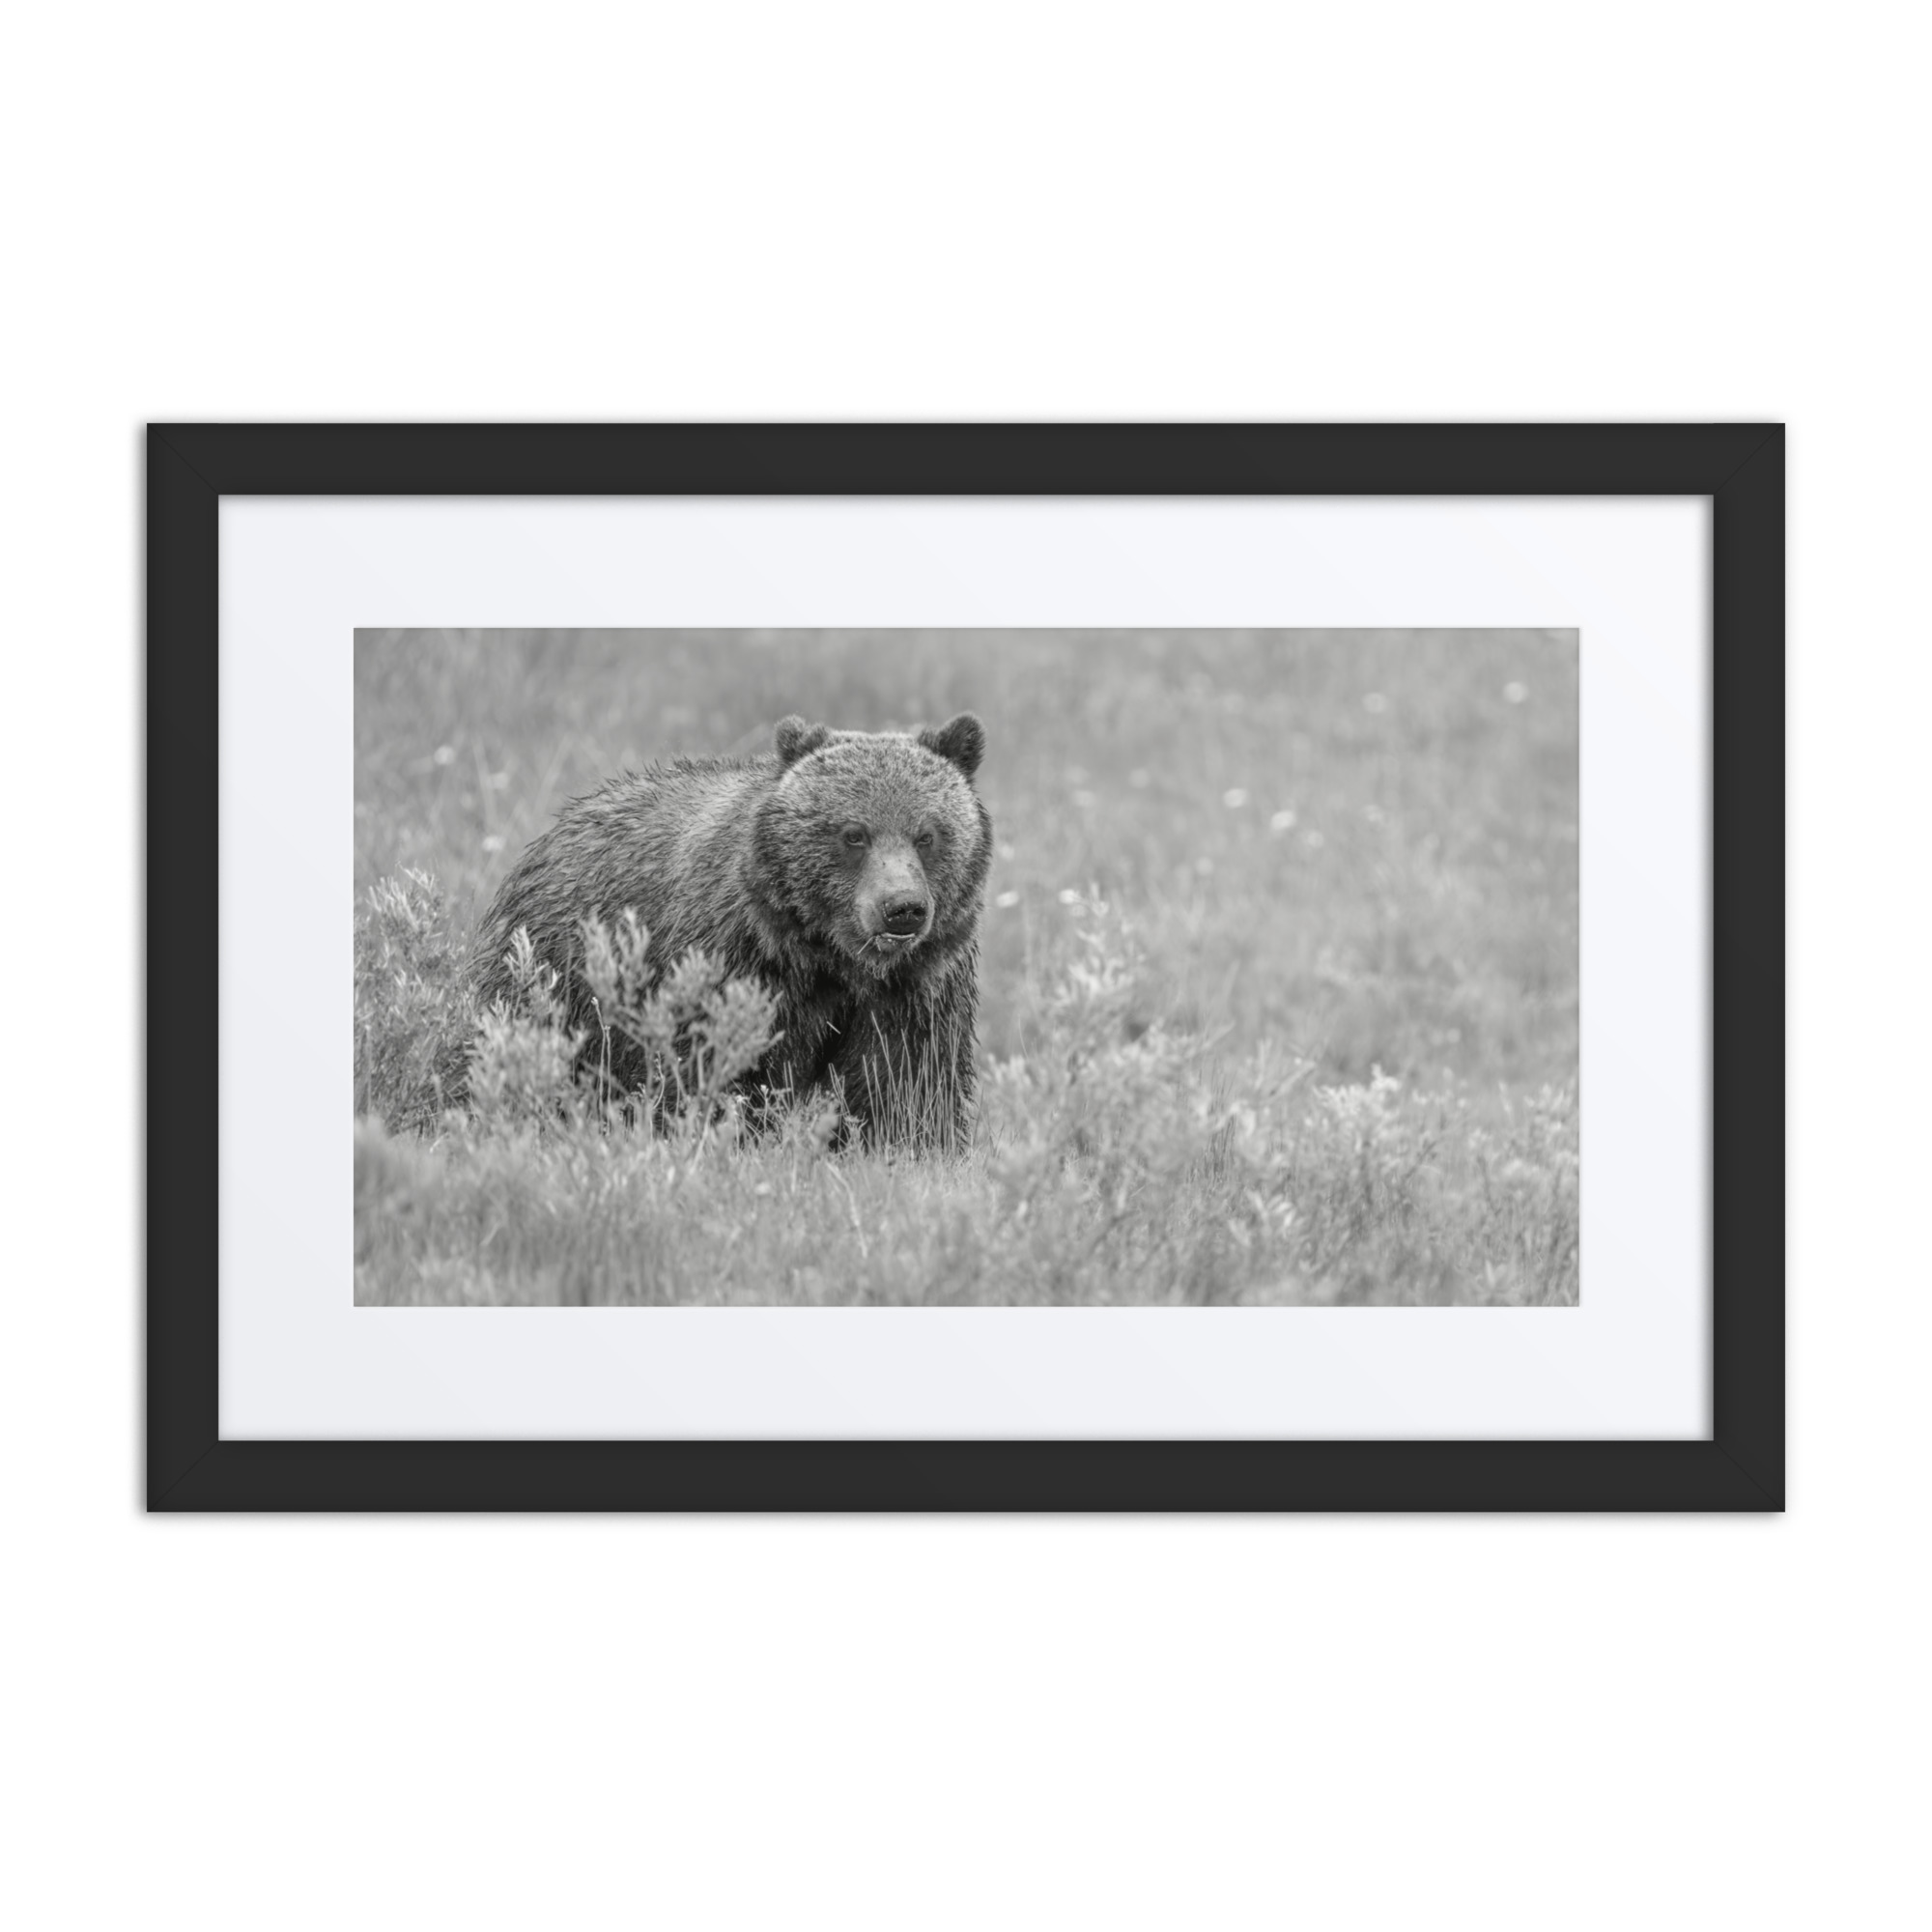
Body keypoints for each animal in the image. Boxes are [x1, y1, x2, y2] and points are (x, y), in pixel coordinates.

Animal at [470, 712, 992, 1149]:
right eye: (853, 834)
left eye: (927, 835)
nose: (902, 908)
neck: (831, 958)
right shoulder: (735, 961)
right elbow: (718, 1067)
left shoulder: (917, 987)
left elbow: (906, 1083)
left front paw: (908, 1147)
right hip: (557, 972)